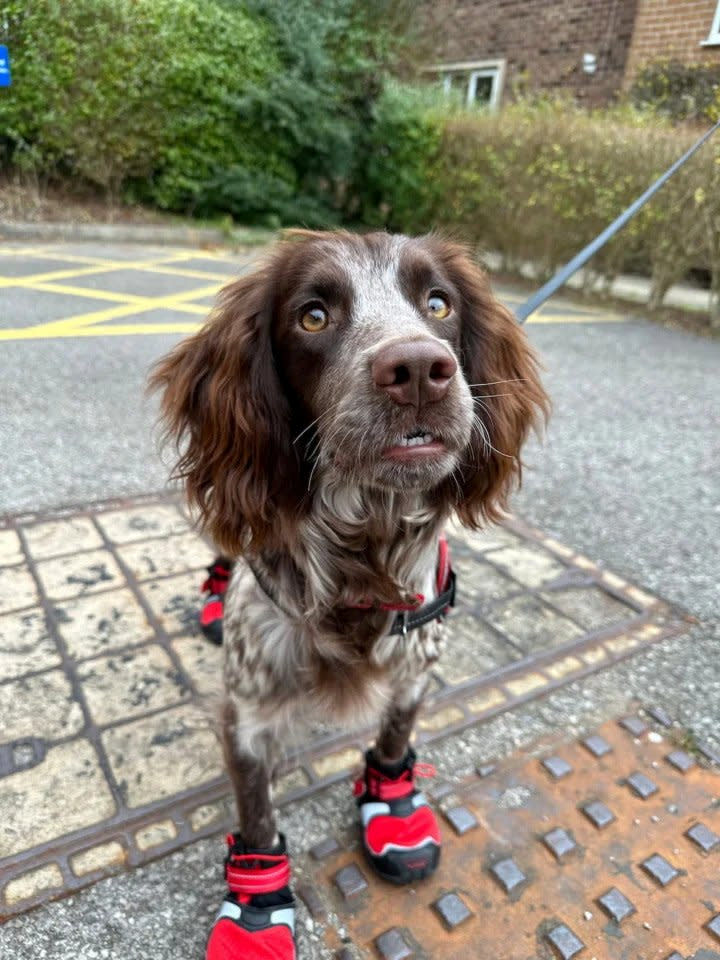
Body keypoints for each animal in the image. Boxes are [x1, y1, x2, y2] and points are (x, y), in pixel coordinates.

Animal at [150, 231, 544, 960]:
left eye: (438, 303)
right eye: (313, 316)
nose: (418, 369)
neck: (364, 556)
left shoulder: (416, 666)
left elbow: (393, 738)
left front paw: (393, 805)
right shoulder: (247, 714)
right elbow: (257, 815)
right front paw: (256, 909)